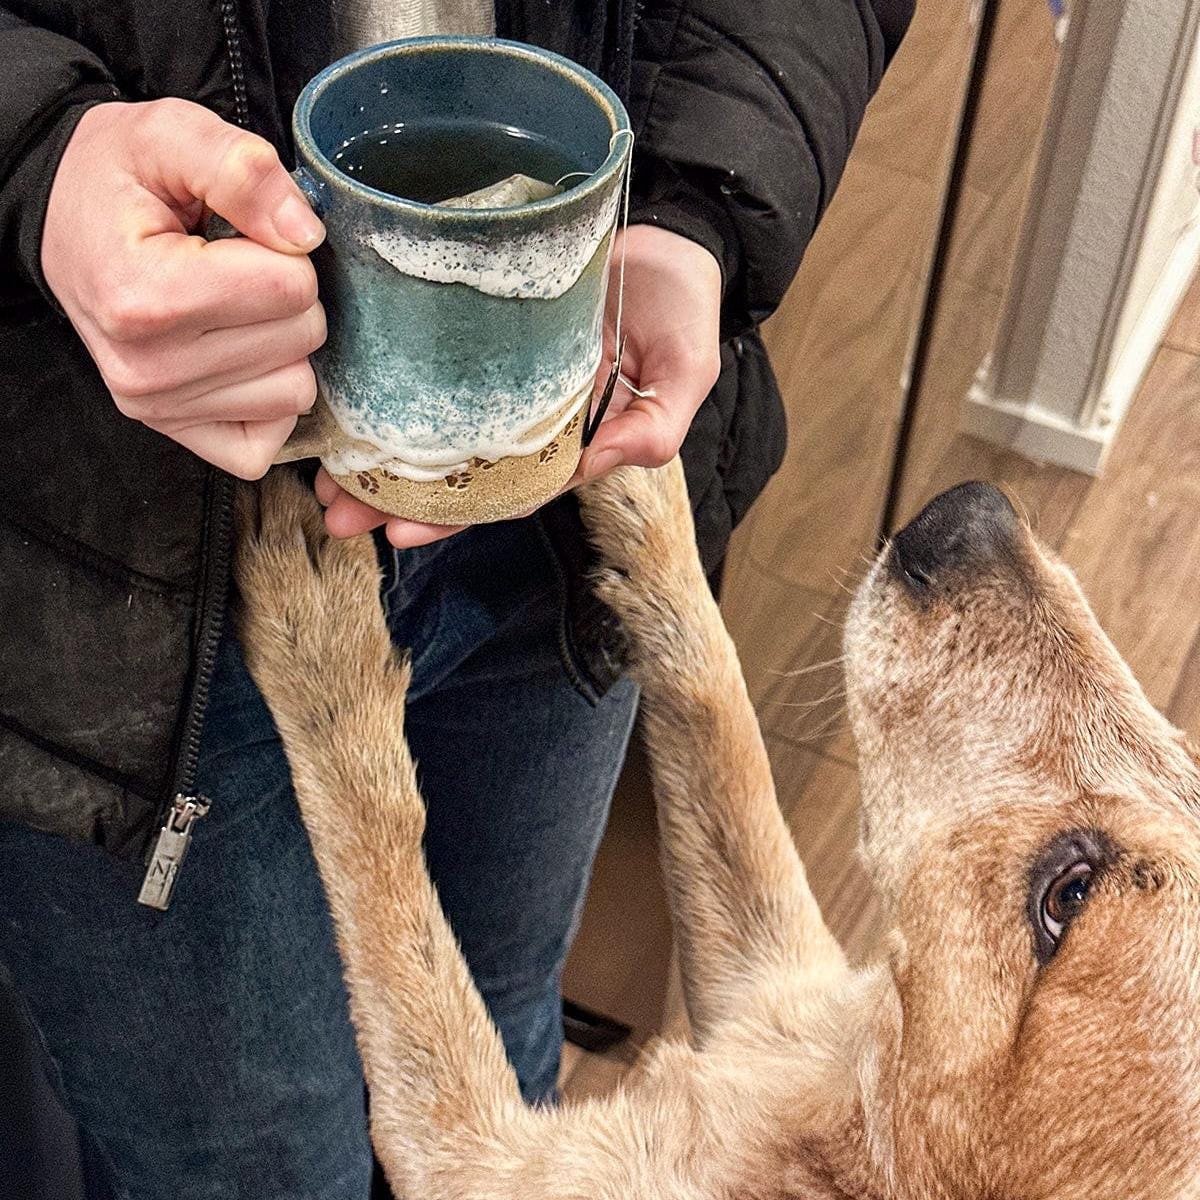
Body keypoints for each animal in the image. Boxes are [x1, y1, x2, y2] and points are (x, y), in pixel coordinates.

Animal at [234, 460, 1200, 1200]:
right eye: (1188, 758)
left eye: (1069, 895)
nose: (971, 508)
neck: (856, 1090)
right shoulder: (764, 988)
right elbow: (715, 693)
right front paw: (642, 468)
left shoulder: (473, 1156)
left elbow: (390, 882)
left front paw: (316, 633)